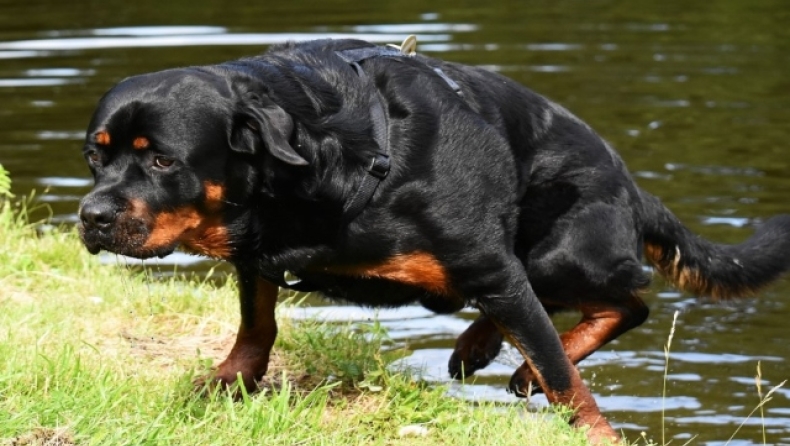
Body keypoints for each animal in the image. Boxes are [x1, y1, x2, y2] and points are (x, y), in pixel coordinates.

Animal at [79, 38, 790, 442]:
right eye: (95, 155)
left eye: (163, 161)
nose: (91, 216)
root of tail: (635, 190)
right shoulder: (256, 246)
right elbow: (257, 325)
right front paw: (229, 381)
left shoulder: (488, 261)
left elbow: (567, 380)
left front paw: (598, 433)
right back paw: (482, 344)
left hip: (561, 251)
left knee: (622, 301)